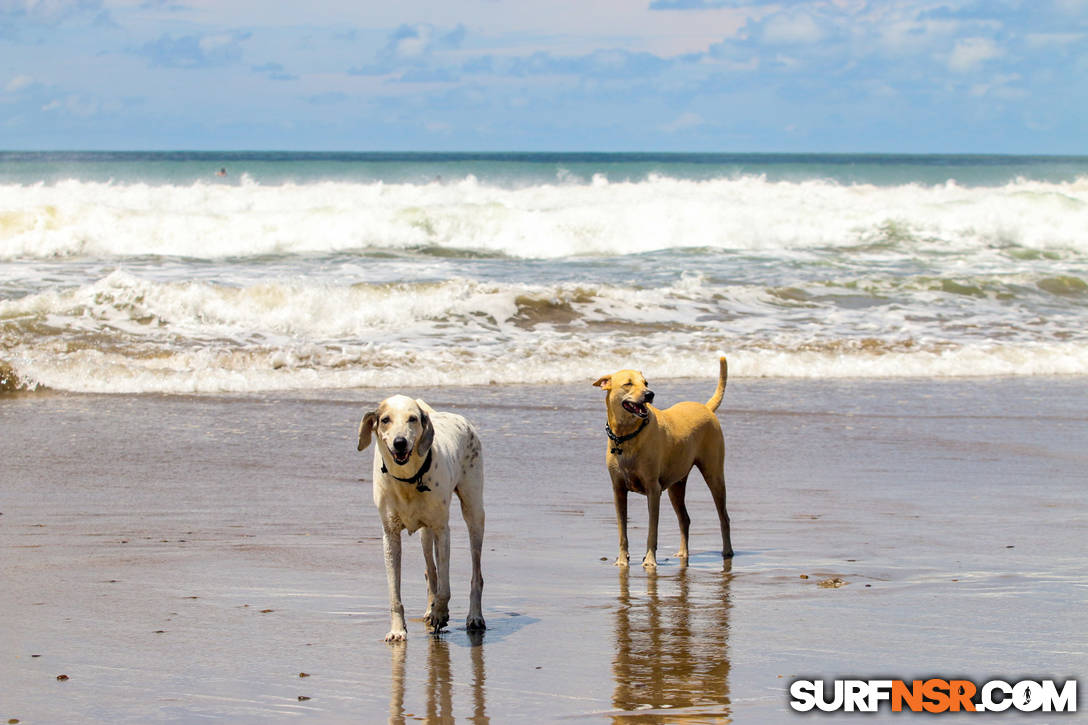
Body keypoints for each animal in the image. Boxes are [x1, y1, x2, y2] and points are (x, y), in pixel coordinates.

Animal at [356, 396, 485, 640]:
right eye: (385, 419)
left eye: (412, 419)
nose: (400, 443)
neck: (408, 479)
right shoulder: (390, 535)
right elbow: (395, 593)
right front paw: (397, 629)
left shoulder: (443, 529)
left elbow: (446, 587)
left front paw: (441, 614)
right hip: (426, 534)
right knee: (430, 570)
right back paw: (429, 609)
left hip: (474, 511)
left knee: (476, 574)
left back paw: (474, 616)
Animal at [591, 354, 735, 566]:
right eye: (628, 383)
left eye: (646, 382)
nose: (650, 394)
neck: (628, 435)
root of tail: (706, 408)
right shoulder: (618, 489)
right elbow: (622, 530)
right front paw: (622, 560)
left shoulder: (653, 489)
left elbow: (652, 529)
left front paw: (650, 560)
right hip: (677, 483)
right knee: (684, 518)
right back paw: (683, 553)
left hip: (714, 473)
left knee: (723, 515)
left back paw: (727, 551)